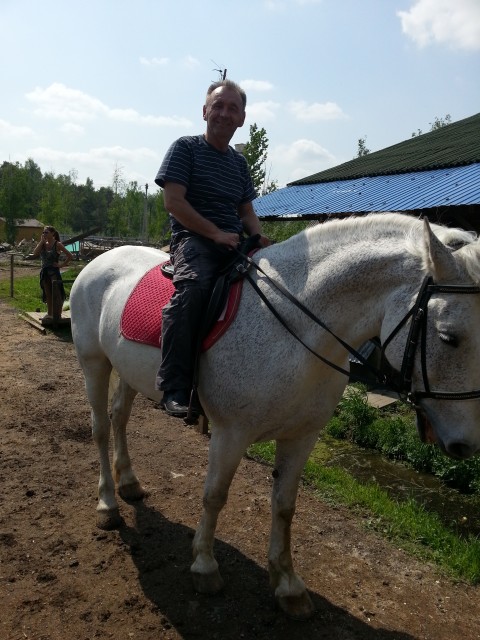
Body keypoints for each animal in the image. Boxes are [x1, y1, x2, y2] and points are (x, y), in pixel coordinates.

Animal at [69, 215, 480, 620]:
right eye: (448, 337)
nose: (465, 444)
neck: (297, 330)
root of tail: (99, 260)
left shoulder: (302, 437)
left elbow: (285, 507)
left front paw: (287, 584)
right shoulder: (230, 434)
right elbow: (214, 496)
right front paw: (204, 566)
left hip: (126, 370)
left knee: (120, 419)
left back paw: (129, 483)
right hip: (94, 363)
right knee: (101, 429)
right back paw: (107, 504)